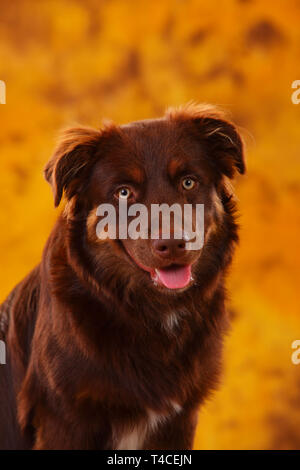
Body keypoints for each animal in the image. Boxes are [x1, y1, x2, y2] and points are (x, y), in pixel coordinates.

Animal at [0, 103, 245, 448]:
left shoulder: (180, 419)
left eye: (188, 182)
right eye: (124, 192)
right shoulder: (64, 419)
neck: (152, 310)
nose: (173, 244)